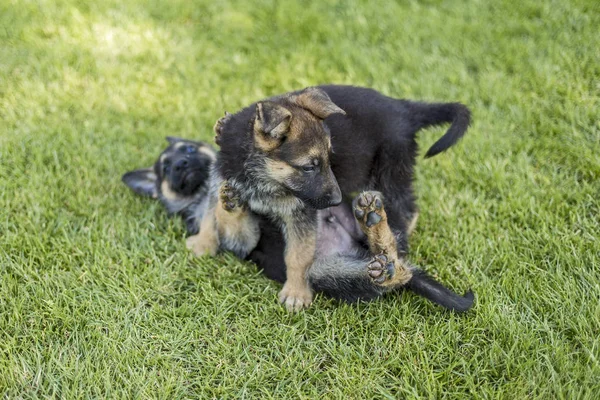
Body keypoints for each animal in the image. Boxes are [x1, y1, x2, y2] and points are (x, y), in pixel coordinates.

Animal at [185, 85, 476, 312]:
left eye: (329, 158)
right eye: (309, 167)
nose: (337, 201)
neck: (259, 177)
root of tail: (404, 108)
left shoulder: (301, 213)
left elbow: (297, 255)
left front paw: (296, 293)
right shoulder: (224, 190)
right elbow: (213, 215)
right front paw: (204, 242)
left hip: (390, 168)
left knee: (405, 218)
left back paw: (383, 230)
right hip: (334, 268)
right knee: (393, 267)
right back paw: (381, 249)